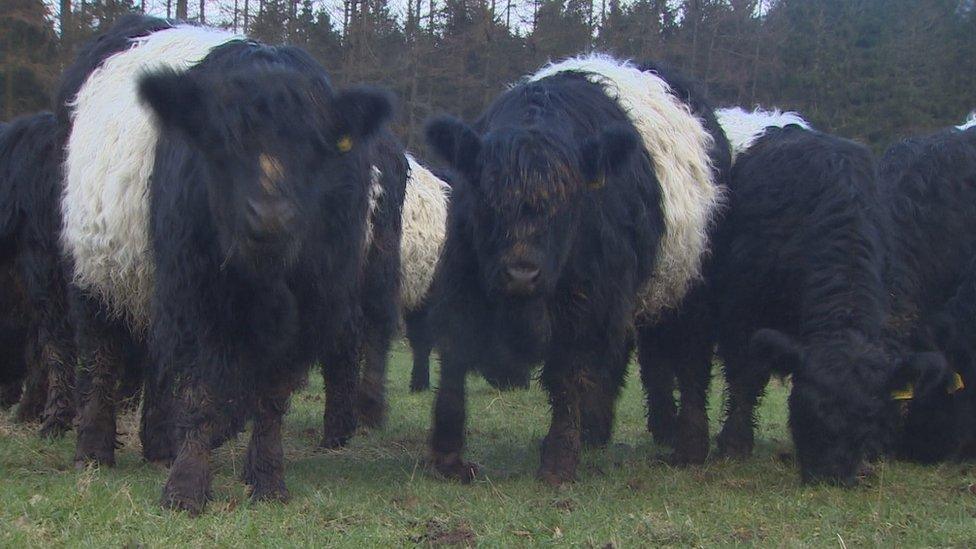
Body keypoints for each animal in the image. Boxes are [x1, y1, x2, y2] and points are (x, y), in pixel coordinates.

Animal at [57, 17, 398, 512]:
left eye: (315, 146)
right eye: (222, 141)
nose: (271, 215)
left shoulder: (310, 306)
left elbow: (272, 397)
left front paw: (267, 479)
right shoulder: (199, 297)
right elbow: (202, 393)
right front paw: (187, 487)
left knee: (159, 362)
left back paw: (160, 445)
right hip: (96, 273)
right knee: (101, 359)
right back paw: (94, 451)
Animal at [424, 53, 728, 484]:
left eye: (567, 203)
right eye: (485, 198)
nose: (521, 273)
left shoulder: (586, 301)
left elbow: (569, 375)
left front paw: (558, 461)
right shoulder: (461, 281)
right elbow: (454, 359)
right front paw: (448, 456)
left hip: (692, 288)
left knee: (691, 361)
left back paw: (689, 447)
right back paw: (596, 430)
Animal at [704, 108, 948, 484]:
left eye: (869, 417)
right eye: (807, 409)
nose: (832, 476)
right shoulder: (742, 310)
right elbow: (746, 375)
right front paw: (734, 444)